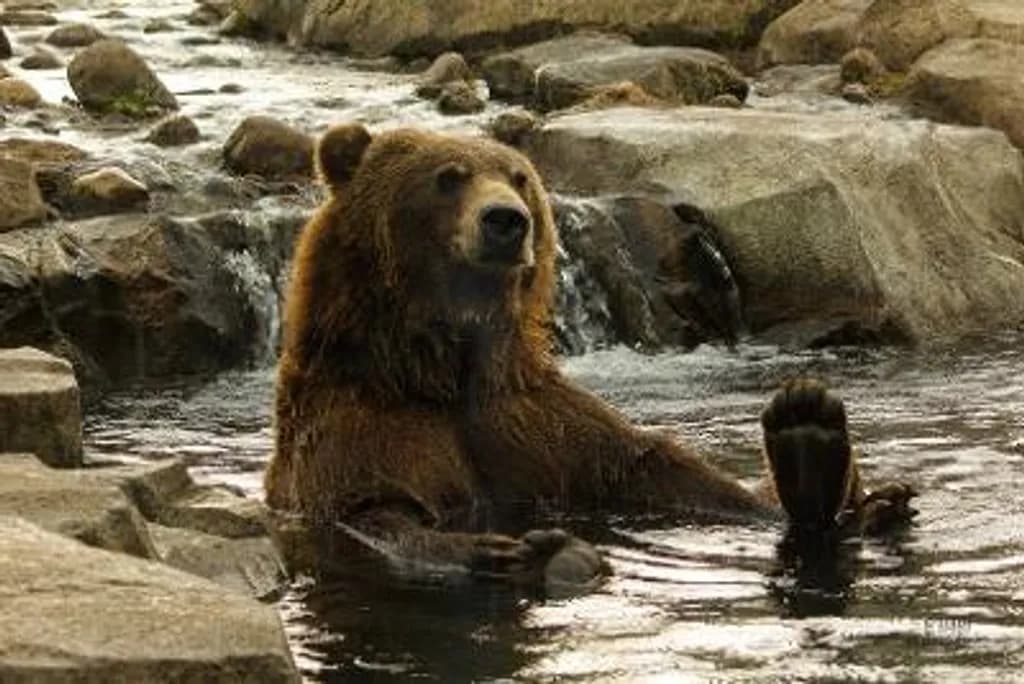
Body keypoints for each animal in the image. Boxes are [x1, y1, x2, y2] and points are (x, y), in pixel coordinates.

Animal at [265, 123, 917, 586]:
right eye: (448, 176)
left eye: (519, 177)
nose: (506, 220)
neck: (441, 370)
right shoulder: (364, 428)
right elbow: (375, 512)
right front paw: (518, 550)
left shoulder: (534, 422)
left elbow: (663, 471)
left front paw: (809, 437)